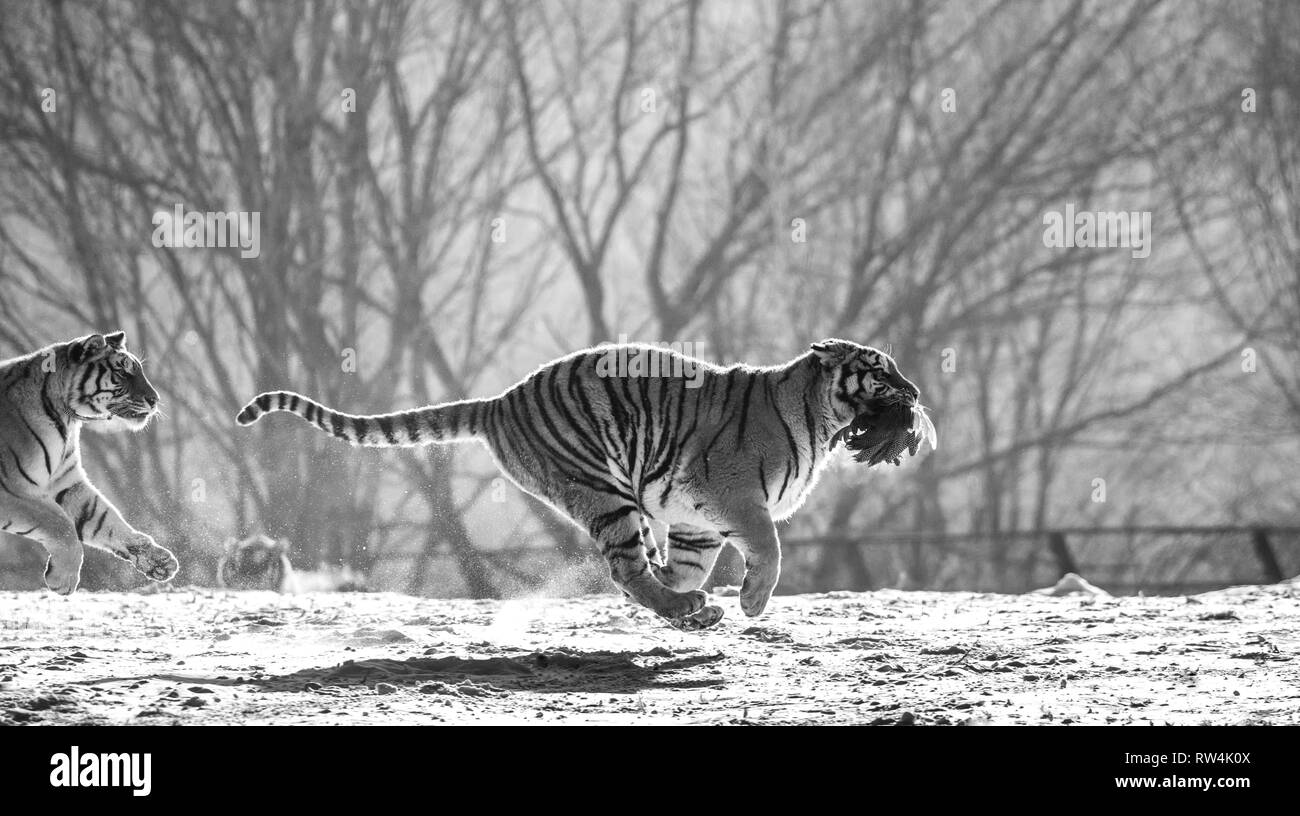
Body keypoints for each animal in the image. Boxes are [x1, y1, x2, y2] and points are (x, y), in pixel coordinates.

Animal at [0, 331, 179, 592]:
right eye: (122, 372)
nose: (154, 399)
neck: (65, 417)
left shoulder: (66, 483)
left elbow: (105, 519)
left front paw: (157, 561)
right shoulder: (10, 489)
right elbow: (60, 525)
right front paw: (63, 578)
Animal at [236, 340, 935, 628]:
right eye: (879, 371)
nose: (916, 393)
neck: (821, 417)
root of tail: (499, 399)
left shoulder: (696, 518)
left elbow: (687, 562)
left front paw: (698, 601)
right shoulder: (736, 497)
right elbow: (771, 546)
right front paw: (751, 602)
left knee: (636, 573)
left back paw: (687, 610)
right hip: (604, 489)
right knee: (625, 566)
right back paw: (685, 609)